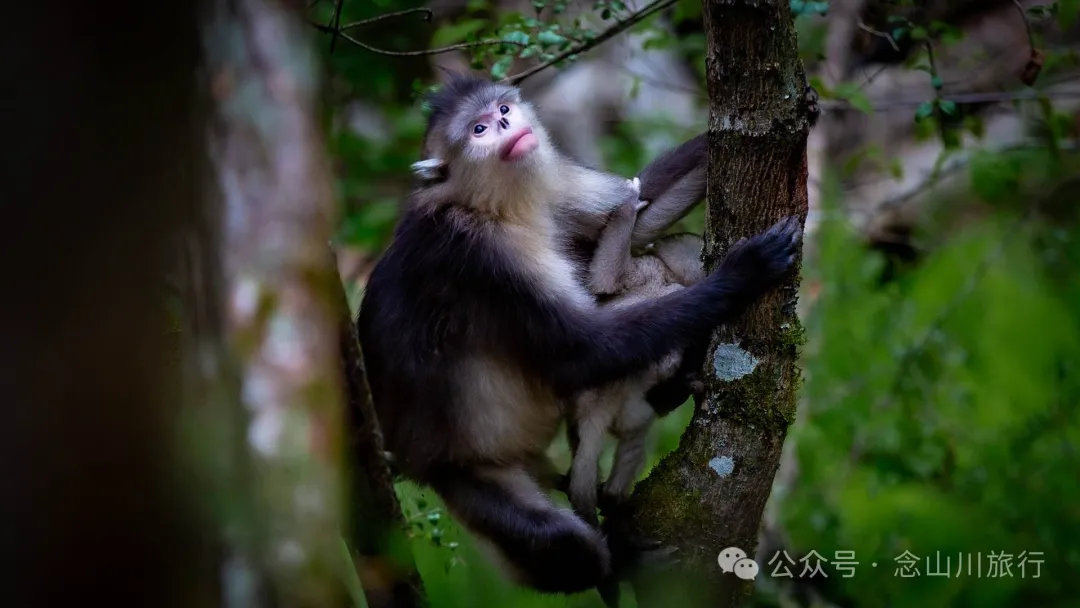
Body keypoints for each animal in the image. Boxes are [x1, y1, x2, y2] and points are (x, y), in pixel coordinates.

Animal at [356, 71, 803, 597]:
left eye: (504, 110)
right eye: (479, 129)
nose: (507, 126)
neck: (493, 203)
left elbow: (640, 217)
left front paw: (803, 105)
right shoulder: (481, 256)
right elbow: (581, 350)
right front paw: (744, 270)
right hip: (463, 474)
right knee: (561, 543)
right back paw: (621, 558)